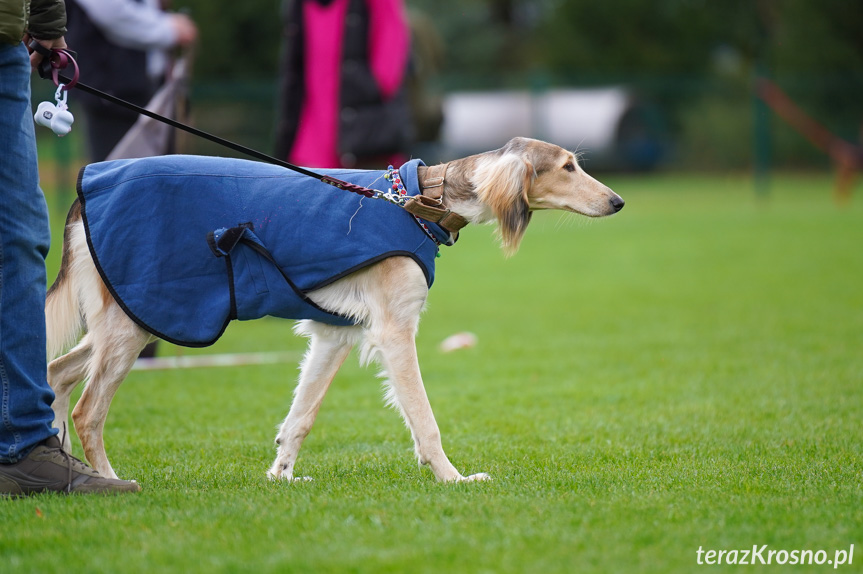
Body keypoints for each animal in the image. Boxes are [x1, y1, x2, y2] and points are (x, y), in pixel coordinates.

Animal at [44, 137, 624, 484]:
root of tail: (81, 192)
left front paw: (281, 475)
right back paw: (109, 479)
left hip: (127, 320)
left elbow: (301, 416)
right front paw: (452, 478)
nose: (618, 202)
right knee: (87, 410)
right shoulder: (395, 330)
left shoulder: (334, 333)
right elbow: (425, 419)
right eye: (568, 166)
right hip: (137, 319)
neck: (417, 199)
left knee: (55, 375)